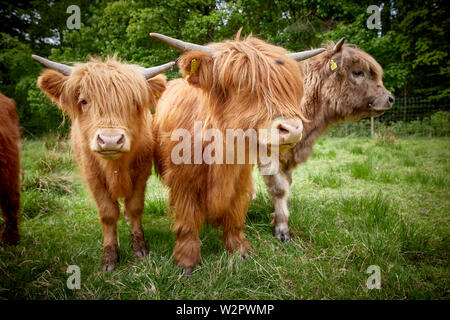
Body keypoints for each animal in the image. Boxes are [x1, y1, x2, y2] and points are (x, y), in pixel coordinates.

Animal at [33, 55, 174, 270]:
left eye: (133, 101)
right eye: (84, 101)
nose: (110, 140)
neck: (115, 167)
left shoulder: (141, 174)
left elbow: (135, 207)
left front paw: (140, 248)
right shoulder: (93, 178)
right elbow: (107, 214)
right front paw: (110, 255)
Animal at [151, 32, 324, 276]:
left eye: (288, 86)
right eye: (243, 85)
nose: (291, 129)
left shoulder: (240, 179)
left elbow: (235, 215)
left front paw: (238, 250)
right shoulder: (184, 181)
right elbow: (187, 221)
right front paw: (187, 261)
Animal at [264, 38, 394, 241]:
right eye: (358, 72)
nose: (390, 98)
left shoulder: (289, 156)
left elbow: (286, 184)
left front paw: (277, 213)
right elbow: (279, 188)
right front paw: (282, 229)